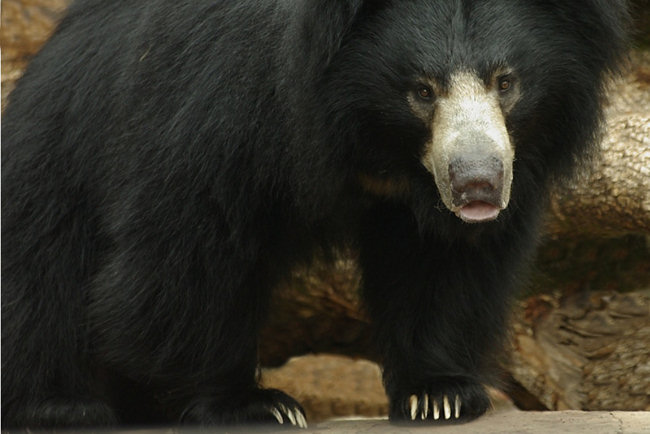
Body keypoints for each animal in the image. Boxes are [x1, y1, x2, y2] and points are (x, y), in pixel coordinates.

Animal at [1, 0, 628, 428]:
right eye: (422, 90)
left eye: (506, 81)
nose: (477, 185)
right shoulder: (218, 106)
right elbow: (188, 249)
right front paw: (253, 404)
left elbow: (442, 260)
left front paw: (439, 393)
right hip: (56, 152)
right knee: (43, 271)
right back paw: (63, 404)